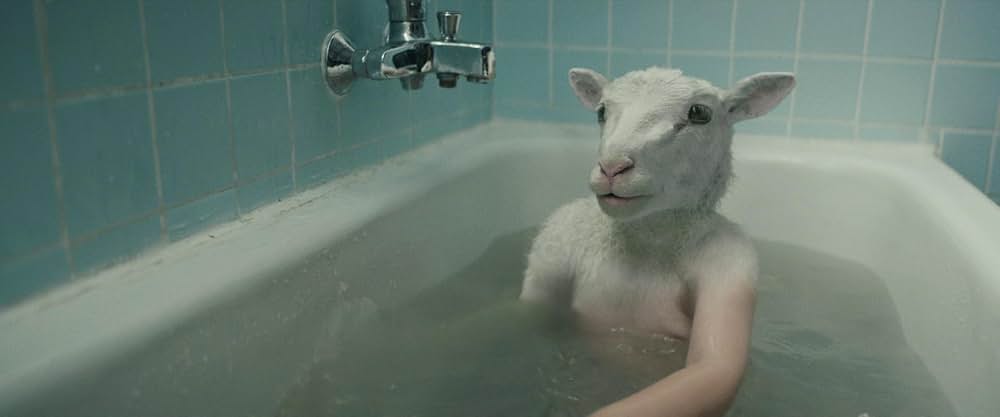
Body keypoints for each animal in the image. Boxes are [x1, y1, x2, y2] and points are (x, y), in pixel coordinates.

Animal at [520, 67, 795, 417]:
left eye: (699, 113)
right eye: (601, 111)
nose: (612, 167)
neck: (646, 243)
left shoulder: (732, 260)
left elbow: (715, 366)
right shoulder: (556, 238)